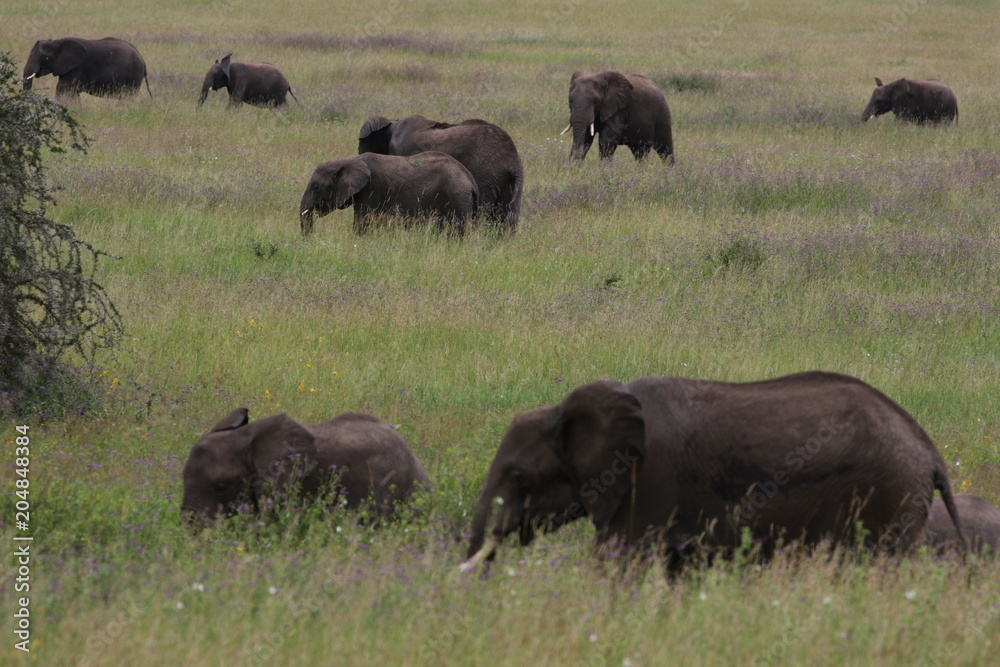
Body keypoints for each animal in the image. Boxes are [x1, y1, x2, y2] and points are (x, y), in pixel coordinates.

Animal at [21, 36, 151, 98]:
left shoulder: (77, 67)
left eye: (45, 57)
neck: (58, 42)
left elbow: (63, 89)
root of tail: (142, 59)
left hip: (132, 76)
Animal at [298, 151, 478, 237]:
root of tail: (470, 179)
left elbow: (362, 222)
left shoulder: (371, 188)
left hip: (456, 196)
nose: (309, 239)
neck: (347, 161)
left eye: (316, 187)